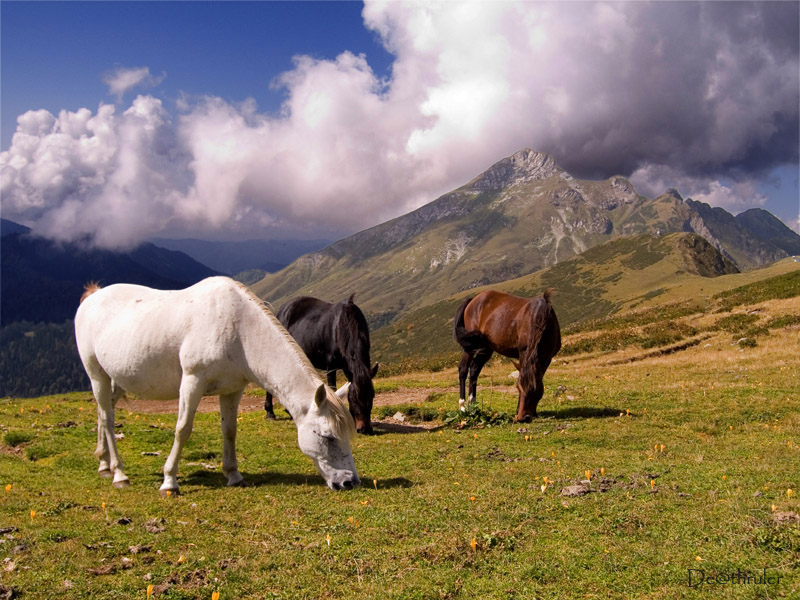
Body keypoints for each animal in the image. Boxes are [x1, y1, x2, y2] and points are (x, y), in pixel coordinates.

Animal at [73, 276, 360, 492]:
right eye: (327, 436)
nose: (349, 482)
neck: (239, 329)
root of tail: (93, 297)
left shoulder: (233, 389)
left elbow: (230, 430)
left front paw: (234, 475)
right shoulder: (192, 381)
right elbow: (183, 429)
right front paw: (169, 481)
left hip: (117, 378)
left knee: (103, 412)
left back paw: (104, 464)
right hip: (96, 373)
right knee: (108, 419)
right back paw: (119, 474)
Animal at [266, 294, 378, 432]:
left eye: (372, 396)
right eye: (353, 398)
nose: (365, 429)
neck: (344, 325)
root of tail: (281, 311)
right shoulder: (331, 366)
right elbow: (333, 389)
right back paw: (270, 413)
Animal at [454, 290, 560, 422]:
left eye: (535, 390)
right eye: (518, 388)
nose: (522, 417)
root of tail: (472, 300)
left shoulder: (547, 358)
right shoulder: (523, 353)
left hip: (486, 348)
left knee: (474, 371)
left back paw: (473, 404)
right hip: (471, 346)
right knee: (463, 369)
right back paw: (463, 406)